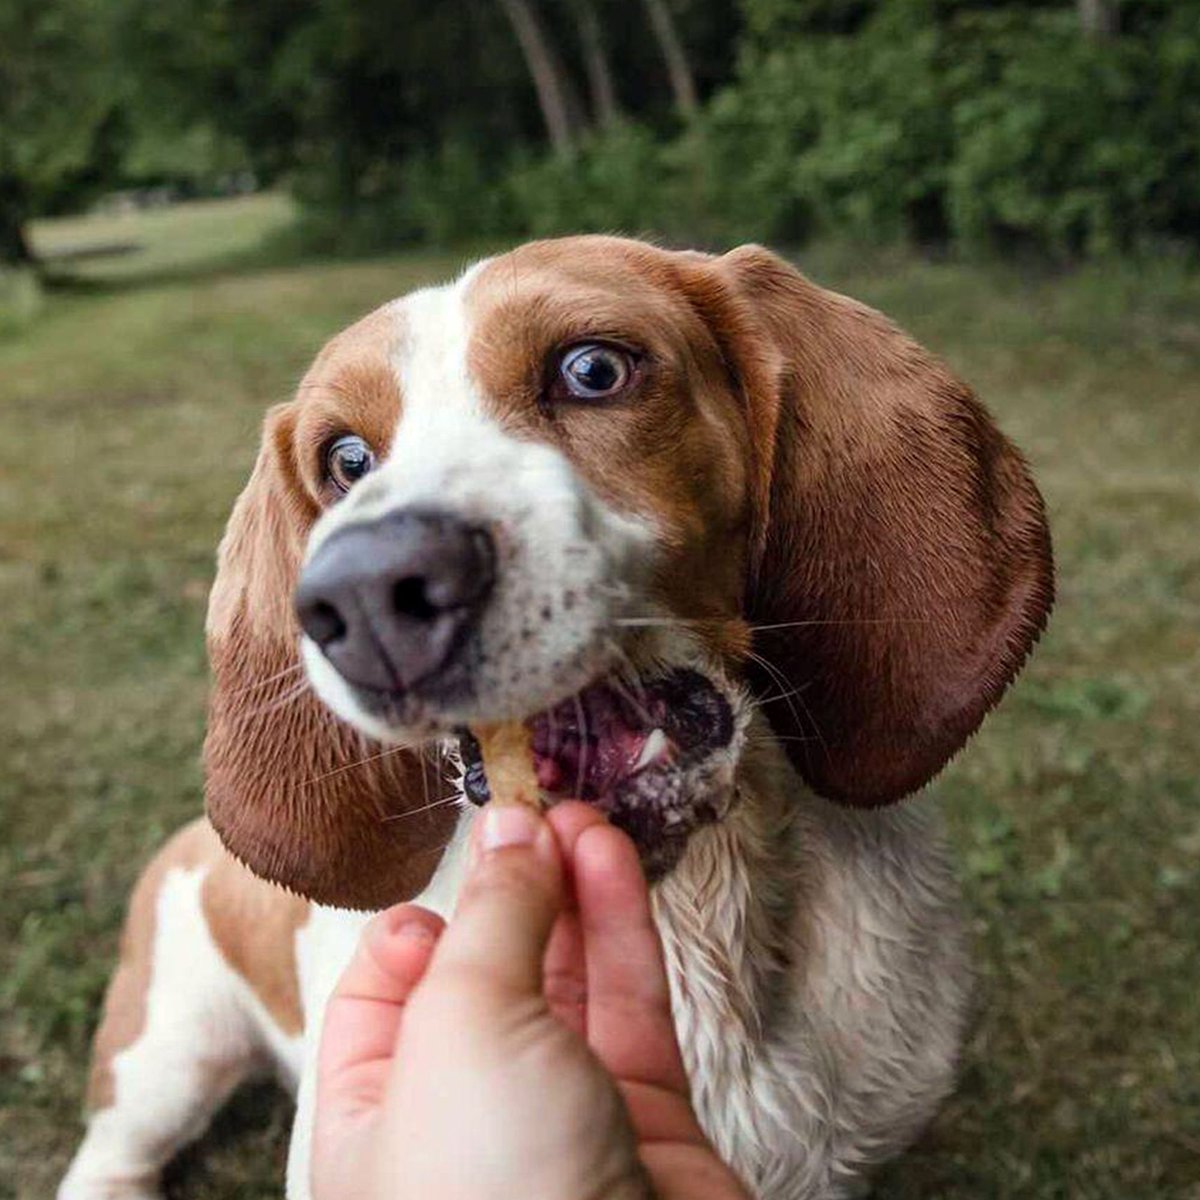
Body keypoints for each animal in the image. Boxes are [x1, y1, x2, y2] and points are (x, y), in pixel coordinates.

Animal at [58, 236, 1051, 1200]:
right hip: (166, 1062)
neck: (698, 920)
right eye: (344, 460)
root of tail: (191, 835)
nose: (368, 592)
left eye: (593, 370)